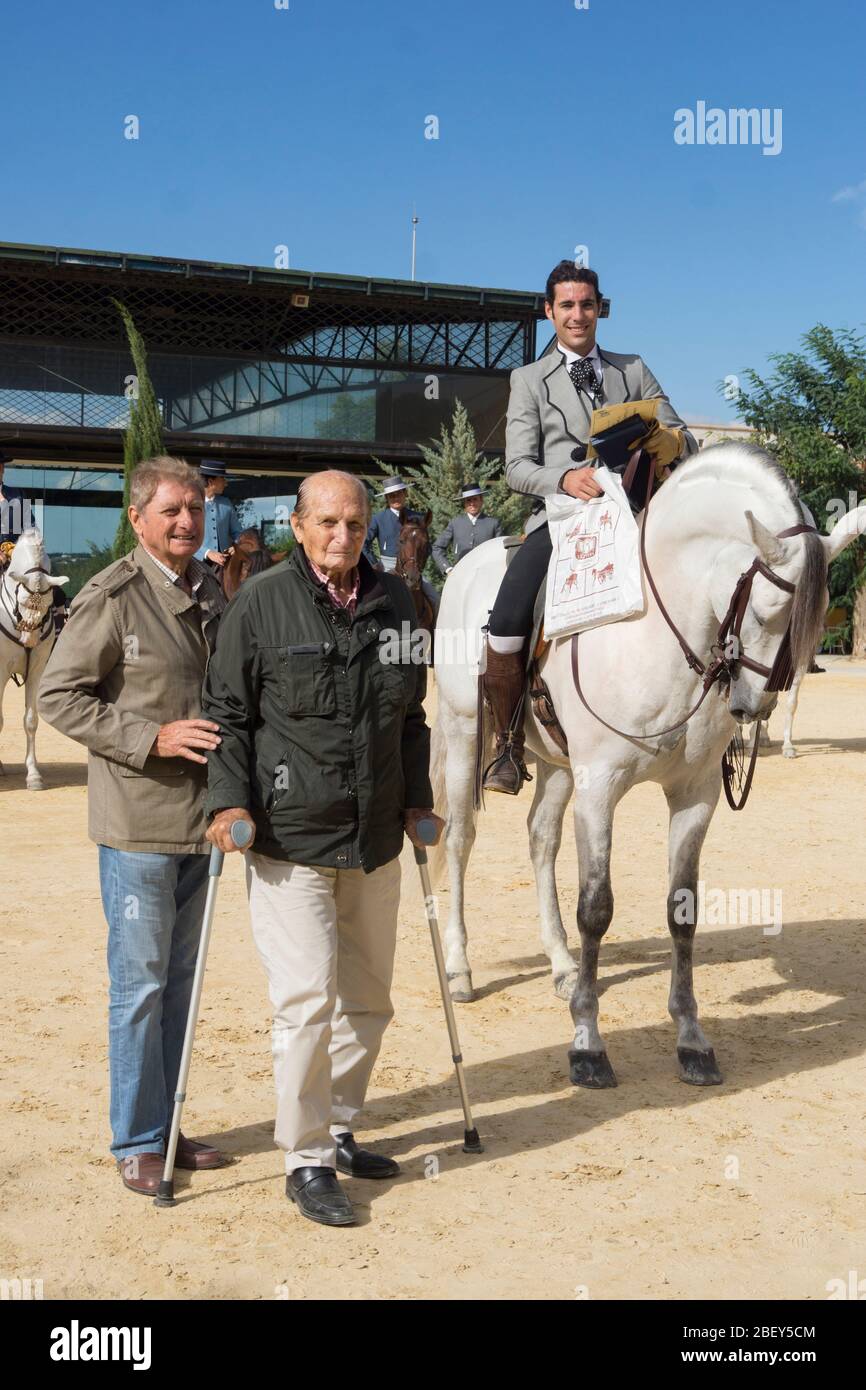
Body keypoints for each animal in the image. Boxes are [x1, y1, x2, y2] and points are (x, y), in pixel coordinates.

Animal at [0, 528, 69, 795]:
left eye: (49, 604)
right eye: (21, 599)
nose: (28, 639)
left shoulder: (38, 670)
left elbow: (31, 721)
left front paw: (34, 775)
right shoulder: (0, 669)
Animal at [430, 444, 861, 1084]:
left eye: (811, 623)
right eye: (766, 609)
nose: (752, 707)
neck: (660, 635)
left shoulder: (695, 793)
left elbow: (682, 911)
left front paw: (691, 1039)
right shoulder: (599, 787)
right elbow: (596, 907)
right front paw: (588, 1044)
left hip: (556, 764)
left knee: (540, 839)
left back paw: (561, 964)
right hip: (465, 735)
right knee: (460, 840)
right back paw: (460, 969)